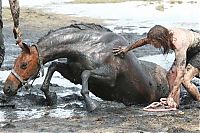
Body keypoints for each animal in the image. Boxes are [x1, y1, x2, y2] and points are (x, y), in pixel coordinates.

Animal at [3, 23, 169, 111]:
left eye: (23, 65)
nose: (7, 88)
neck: (89, 47)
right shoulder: (73, 74)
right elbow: (53, 66)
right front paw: (51, 97)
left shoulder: (109, 77)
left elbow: (86, 74)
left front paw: (92, 105)